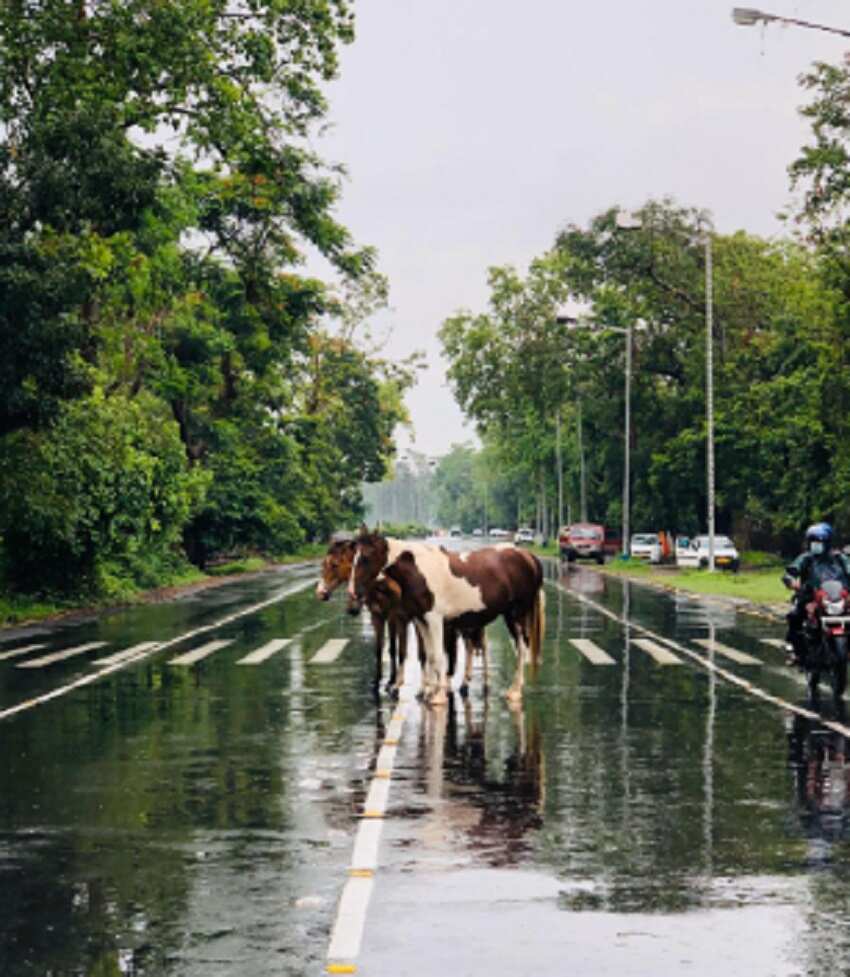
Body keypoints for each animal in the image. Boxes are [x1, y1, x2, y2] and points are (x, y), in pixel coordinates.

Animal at [350, 532, 544, 700]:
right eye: (353, 557)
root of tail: (528, 556)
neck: (418, 571)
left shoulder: (435, 620)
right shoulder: (421, 620)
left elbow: (437, 655)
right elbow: (429, 655)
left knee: (521, 648)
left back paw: (515, 690)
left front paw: (438, 696)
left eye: (365, 558)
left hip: (516, 615)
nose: (353, 592)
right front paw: (429, 691)